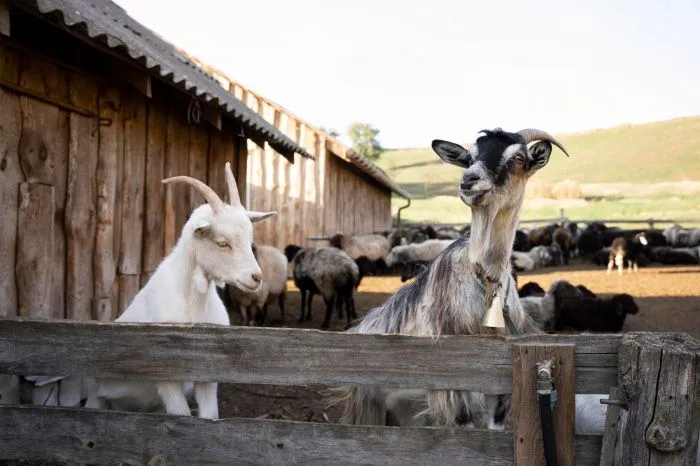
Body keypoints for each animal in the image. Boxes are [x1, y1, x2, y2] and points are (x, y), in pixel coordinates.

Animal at [334, 124, 576, 430]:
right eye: (470, 156)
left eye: (519, 158)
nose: (469, 180)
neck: (485, 281)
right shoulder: (454, 387)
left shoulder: (500, 392)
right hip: (368, 405)